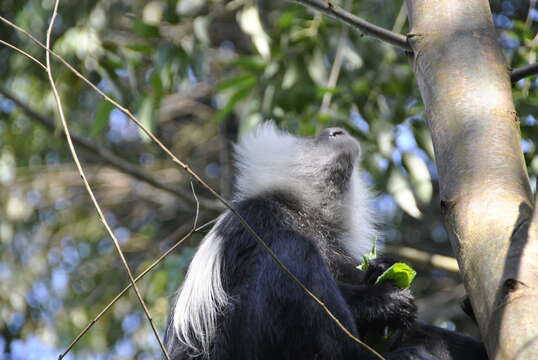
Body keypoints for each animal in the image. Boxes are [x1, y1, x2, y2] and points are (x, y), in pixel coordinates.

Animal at [163, 122, 486, 358]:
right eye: (313, 139)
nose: (337, 131)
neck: (306, 215)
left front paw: (382, 269)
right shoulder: (258, 216)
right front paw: (382, 300)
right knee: (294, 254)